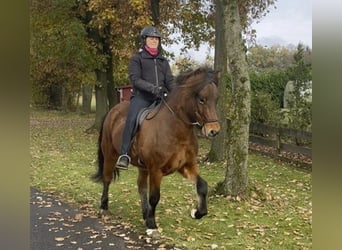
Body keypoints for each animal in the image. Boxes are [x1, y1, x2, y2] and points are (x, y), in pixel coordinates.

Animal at [91, 66, 219, 236]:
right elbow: (155, 197)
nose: (214, 131)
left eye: (216, 99)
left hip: (142, 166)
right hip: (110, 155)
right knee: (107, 179)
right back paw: (104, 208)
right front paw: (152, 226)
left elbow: (202, 186)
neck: (176, 129)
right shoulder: (156, 169)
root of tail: (113, 110)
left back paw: (145, 214)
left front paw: (197, 212)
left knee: (141, 186)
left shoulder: (186, 166)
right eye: (202, 99)